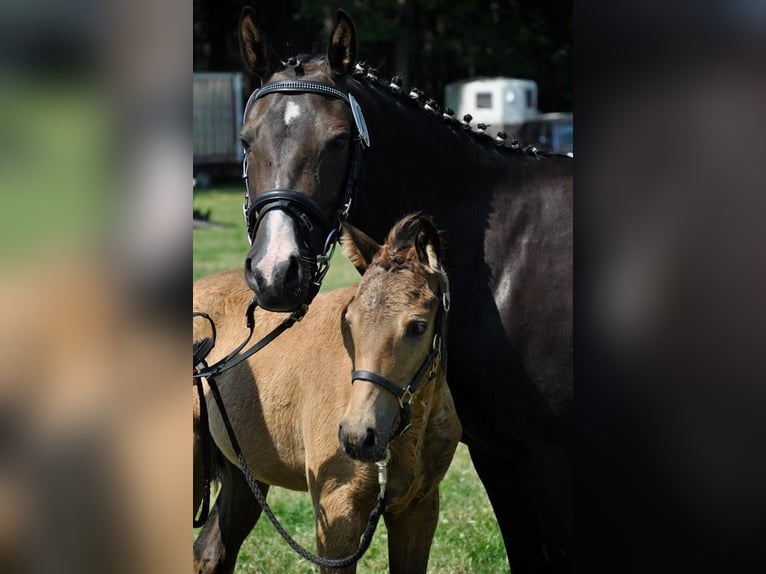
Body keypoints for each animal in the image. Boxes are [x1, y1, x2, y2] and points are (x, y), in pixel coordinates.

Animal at [207, 9, 572, 574]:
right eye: (246, 140)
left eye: (338, 140)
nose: (275, 272)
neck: (508, 251)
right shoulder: (499, 455)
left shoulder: (547, 455)